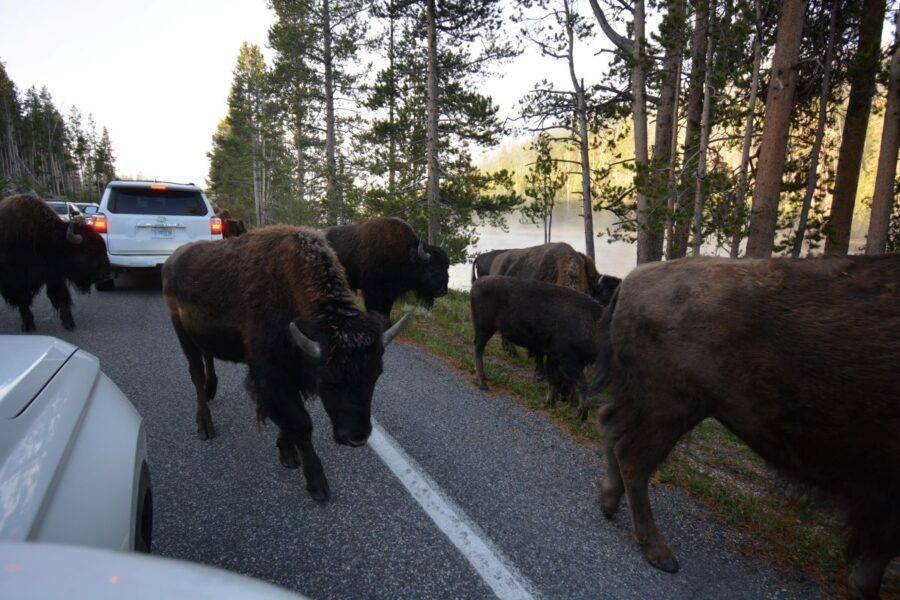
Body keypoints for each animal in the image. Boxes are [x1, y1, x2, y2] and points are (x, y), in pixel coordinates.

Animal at [0, 193, 111, 330]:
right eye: (87, 250)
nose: (106, 274)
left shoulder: (53, 274)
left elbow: (61, 296)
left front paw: (69, 323)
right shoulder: (16, 280)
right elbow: (23, 300)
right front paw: (29, 325)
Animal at [163, 226, 410, 502]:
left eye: (377, 374)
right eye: (328, 379)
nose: (356, 437)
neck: (290, 291)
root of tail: (173, 259)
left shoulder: (290, 376)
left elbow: (288, 417)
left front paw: (287, 452)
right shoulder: (272, 375)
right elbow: (300, 422)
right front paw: (317, 484)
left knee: (207, 359)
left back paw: (211, 390)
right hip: (181, 332)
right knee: (195, 373)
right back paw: (205, 426)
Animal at [468, 276, 608, 412]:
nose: (565, 399)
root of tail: (476, 284)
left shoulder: (555, 358)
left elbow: (555, 380)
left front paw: (551, 403)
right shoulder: (568, 361)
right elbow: (579, 383)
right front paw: (581, 412)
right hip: (485, 328)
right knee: (478, 349)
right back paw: (483, 384)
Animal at [596, 255, 896, 596]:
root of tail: (634, 278)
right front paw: (863, 587)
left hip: (654, 405)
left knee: (610, 426)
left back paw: (610, 505)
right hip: (672, 409)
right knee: (632, 456)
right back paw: (661, 554)